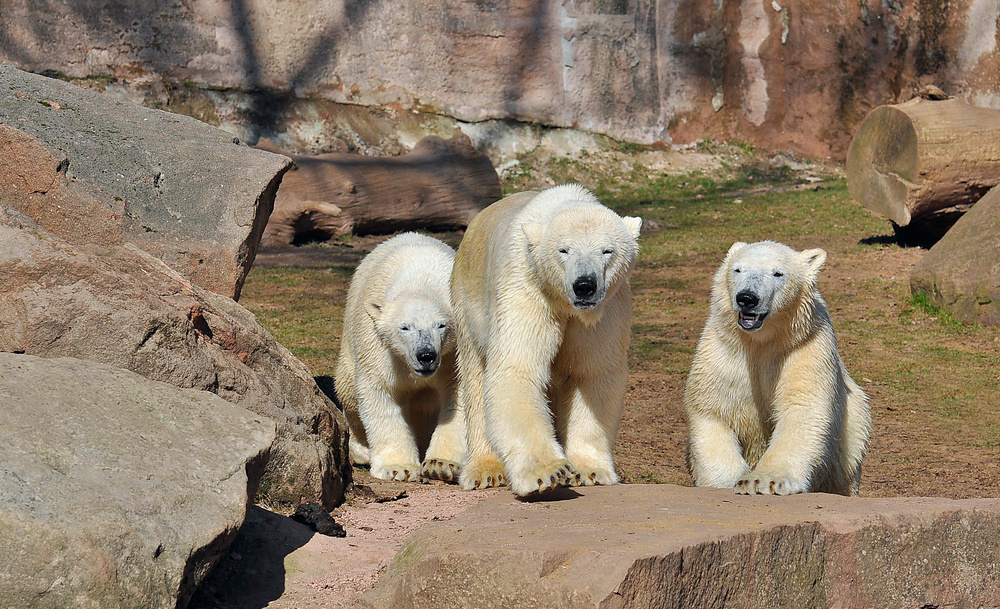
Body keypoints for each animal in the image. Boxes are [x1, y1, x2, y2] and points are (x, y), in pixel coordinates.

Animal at [332, 230, 464, 482]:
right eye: (404, 327)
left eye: (441, 325)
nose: (426, 355)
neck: (420, 279)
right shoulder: (379, 347)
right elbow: (380, 391)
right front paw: (399, 468)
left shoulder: (454, 354)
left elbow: (459, 393)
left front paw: (441, 464)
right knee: (348, 391)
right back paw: (362, 451)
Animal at [452, 184, 640, 494]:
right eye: (563, 250)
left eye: (607, 250)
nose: (585, 285)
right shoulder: (527, 287)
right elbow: (518, 367)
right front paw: (547, 473)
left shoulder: (605, 310)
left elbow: (592, 372)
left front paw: (589, 470)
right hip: (468, 301)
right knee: (476, 379)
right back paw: (485, 469)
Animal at [684, 239, 872, 494]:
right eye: (738, 269)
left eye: (778, 273)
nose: (747, 298)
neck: (760, 342)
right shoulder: (724, 351)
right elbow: (713, 407)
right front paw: (727, 481)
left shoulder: (805, 347)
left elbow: (802, 407)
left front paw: (760, 481)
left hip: (852, 429)